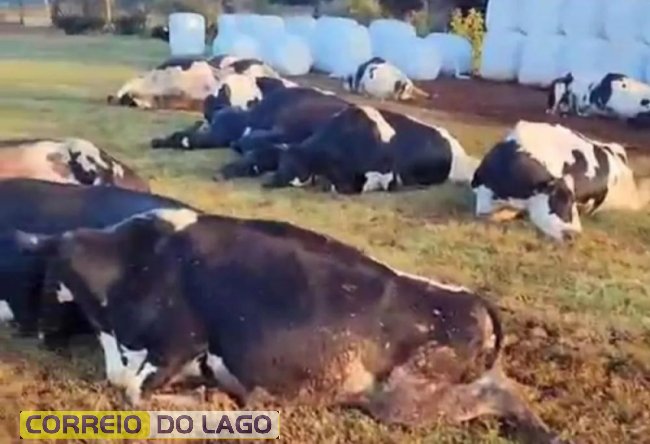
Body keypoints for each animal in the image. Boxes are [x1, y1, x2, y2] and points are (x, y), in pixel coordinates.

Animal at [16, 208, 568, 443]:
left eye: (42, 277)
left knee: (498, 394)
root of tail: (471, 299)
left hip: (405, 398)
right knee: (505, 386)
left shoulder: (178, 342)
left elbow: (131, 394)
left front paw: (215, 403)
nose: (34, 332)